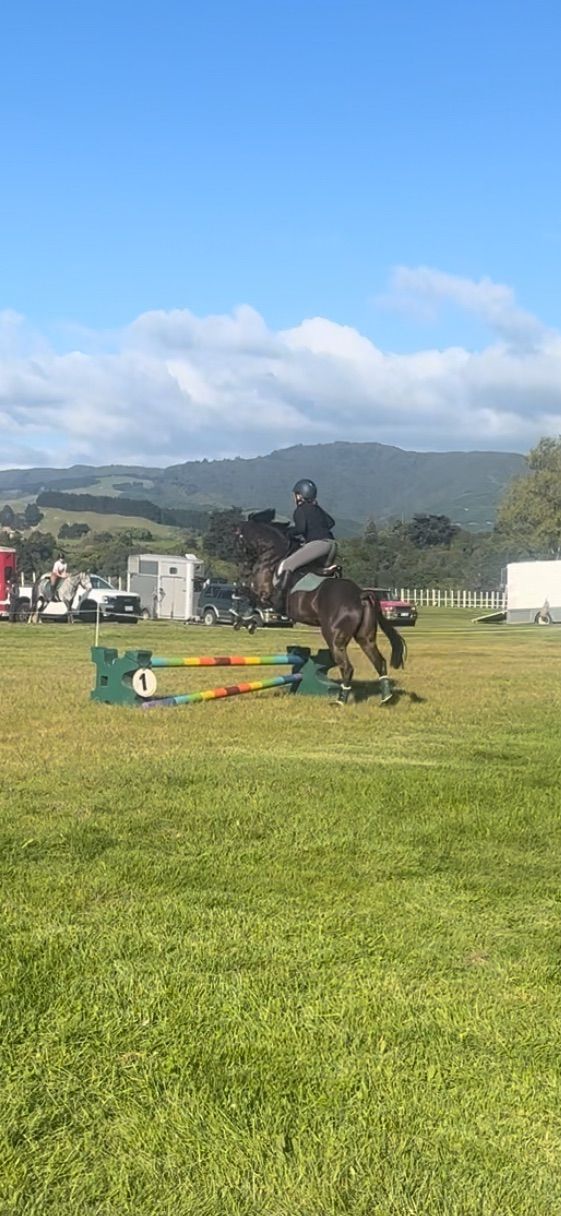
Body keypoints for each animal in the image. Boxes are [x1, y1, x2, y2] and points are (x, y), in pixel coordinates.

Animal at [238, 520, 404, 710]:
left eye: (240, 540)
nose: (244, 570)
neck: (271, 557)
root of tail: (360, 594)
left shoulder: (264, 598)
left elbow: (247, 595)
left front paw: (244, 620)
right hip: (365, 637)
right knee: (379, 662)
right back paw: (386, 699)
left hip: (334, 637)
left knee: (347, 667)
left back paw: (340, 701)